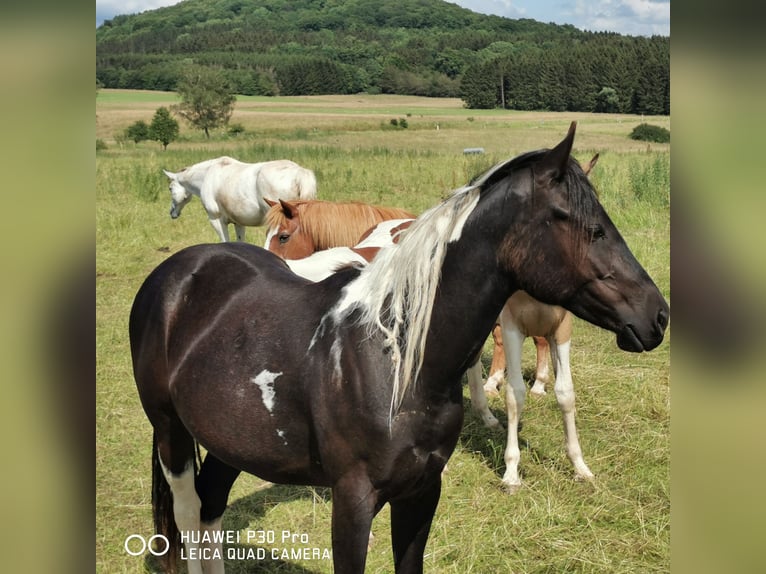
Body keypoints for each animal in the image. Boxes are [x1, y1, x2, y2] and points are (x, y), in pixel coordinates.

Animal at [162, 156, 317, 242]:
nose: (172, 213)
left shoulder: (216, 220)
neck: (208, 175)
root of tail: (299, 173)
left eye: (170, 188)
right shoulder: (239, 223)